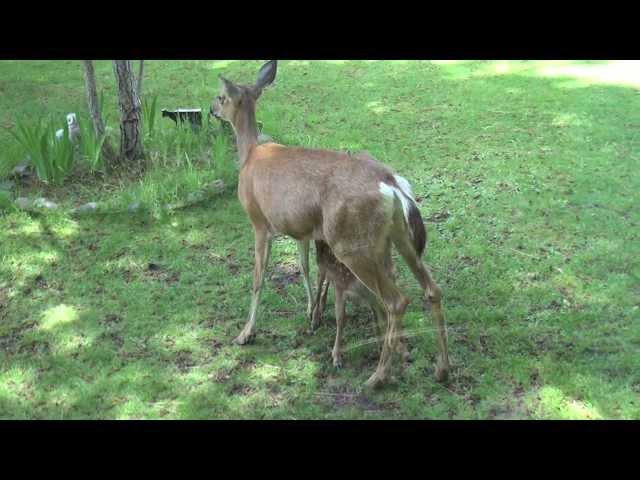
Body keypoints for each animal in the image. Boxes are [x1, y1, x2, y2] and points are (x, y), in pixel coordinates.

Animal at [211, 61, 450, 390]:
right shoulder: (300, 230)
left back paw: (378, 376)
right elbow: (305, 268)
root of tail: (390, 183)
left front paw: (246, 333)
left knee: (397, 300)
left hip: (351, 243)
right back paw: (441, 368)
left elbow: (258, 278)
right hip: (397, 237)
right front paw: (312, 313)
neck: (250, 155)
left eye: (221, 96)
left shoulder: (259, 222)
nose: (211, 110)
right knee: (431, 289)